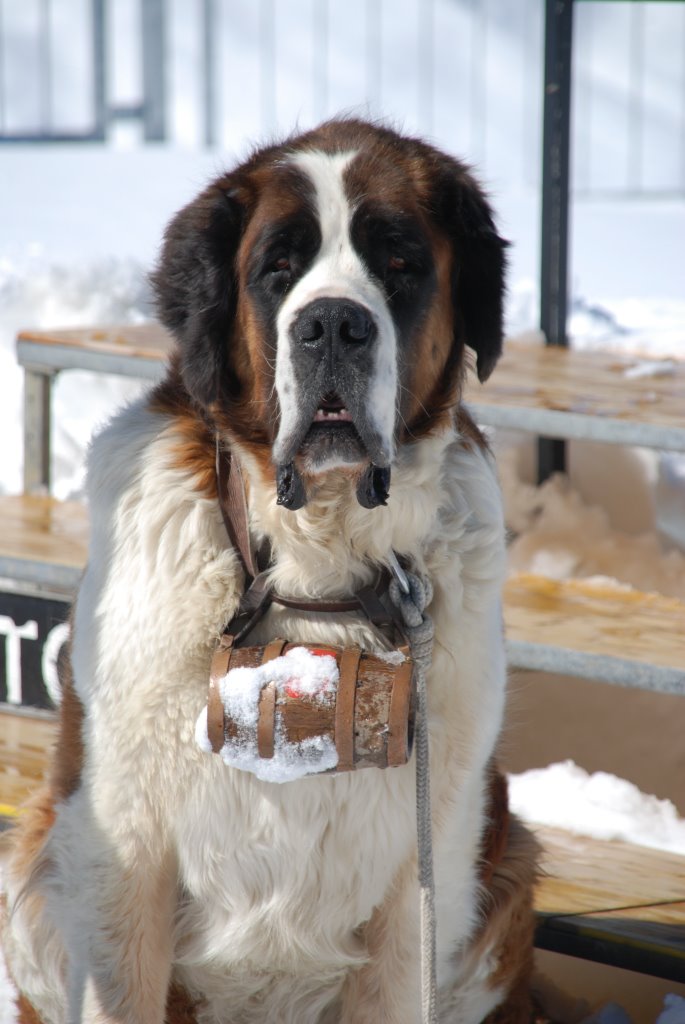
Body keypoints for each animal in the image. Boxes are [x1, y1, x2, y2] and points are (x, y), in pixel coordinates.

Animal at [2, 121, 536, 1024]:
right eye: (277, 268)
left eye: (399, 263)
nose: (332, 325)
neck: (312, 560)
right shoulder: (120, 851)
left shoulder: (421, 874)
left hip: (503, 864)